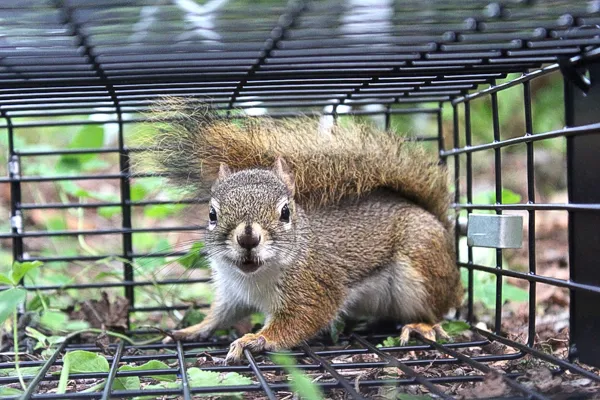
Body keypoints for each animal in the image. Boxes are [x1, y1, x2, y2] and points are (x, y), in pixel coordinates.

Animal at [139, 97, 464, 366]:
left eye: (285, 212)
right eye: (212, 214)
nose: (248, 238)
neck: (255, 278)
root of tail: (440, 227)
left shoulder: (314, 287)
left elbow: (301, 319)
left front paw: (254, 339)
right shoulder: (232, 291)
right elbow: (220, 315)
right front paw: (191, 329)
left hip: (422, 267)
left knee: (436, 311)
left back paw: (421, 325)